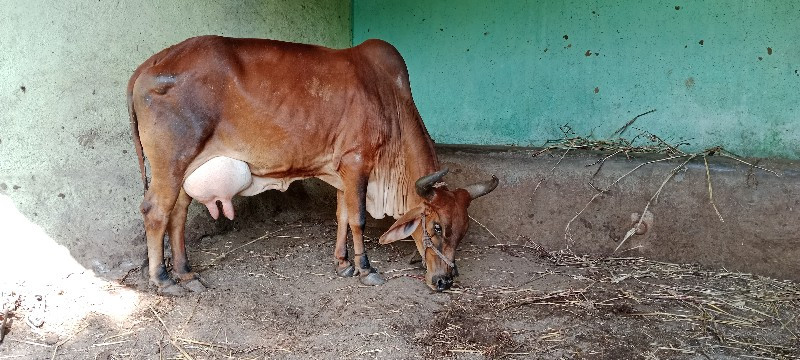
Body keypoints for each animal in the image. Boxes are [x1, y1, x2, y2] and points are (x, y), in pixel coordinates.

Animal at [127, 35, 496, 296]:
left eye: (463, 231)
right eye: (436, 227)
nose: (445, 281)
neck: (390, 98)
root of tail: (147, 66)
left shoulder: (343, 172)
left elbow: (343, 216)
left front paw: (343, 264)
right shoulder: (357, 162)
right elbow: (359, 219)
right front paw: (366, 269)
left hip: (186, 169)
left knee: (177, 214)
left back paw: (186, 273)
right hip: (170, 163)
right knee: (155, 212)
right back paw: (164, 279)